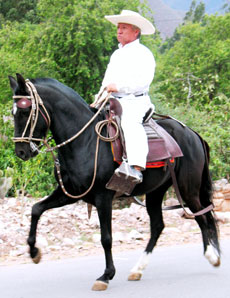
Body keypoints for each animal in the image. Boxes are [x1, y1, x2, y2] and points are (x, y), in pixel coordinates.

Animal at [9, 74, 221, 292]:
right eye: (13, 112)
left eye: (25, 111)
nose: (21, 152)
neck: (85, 141)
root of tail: (192, 134)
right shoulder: (69, 193)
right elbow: (36, 209)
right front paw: (34, 252)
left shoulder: (103, 198)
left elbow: (106, 238)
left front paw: (106, 275)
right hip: (156, 192)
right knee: (159, 226)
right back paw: (138, 269)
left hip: (188, 190)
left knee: (202, 216)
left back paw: (212, 256)